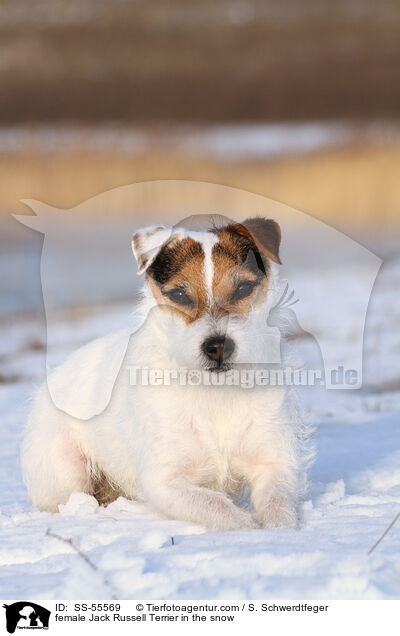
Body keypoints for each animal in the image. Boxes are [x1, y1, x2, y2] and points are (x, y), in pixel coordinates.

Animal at [21, 216, 310, 528]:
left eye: (244, 289)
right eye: (179, 294)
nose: (218, 346)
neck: (216, 390)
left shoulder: (274, 463)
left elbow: (278, 504)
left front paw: (276, 530)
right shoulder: (165, 482)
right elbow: (215, 505)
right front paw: (247, 526)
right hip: (65, 469)